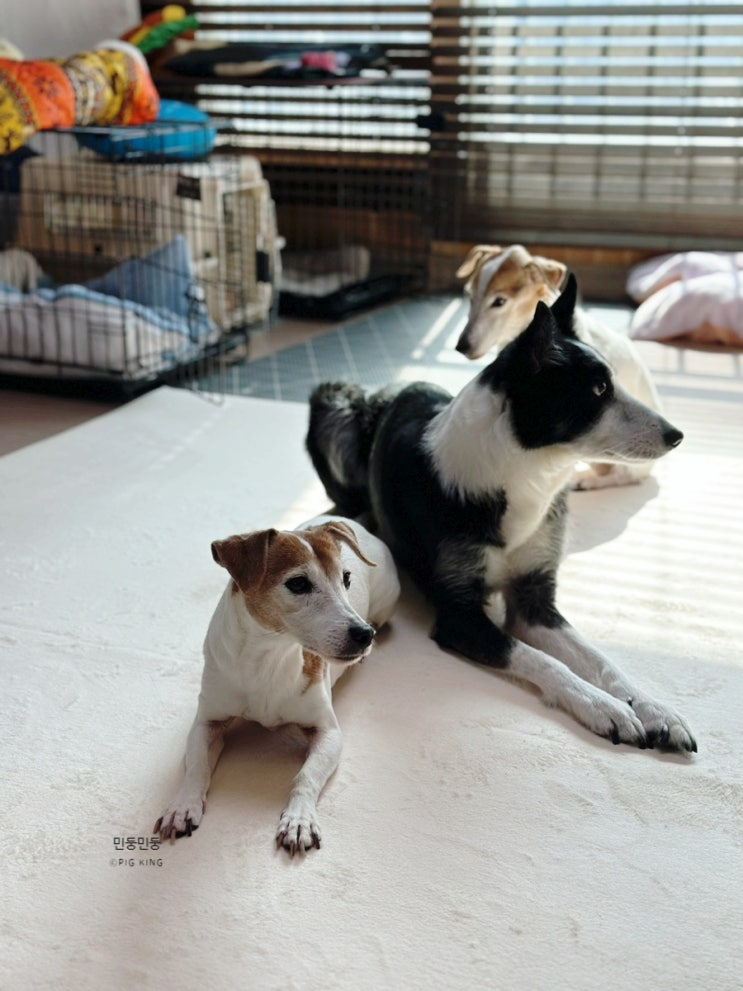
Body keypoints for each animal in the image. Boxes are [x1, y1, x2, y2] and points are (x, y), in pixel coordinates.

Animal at [154, 516, 400, 855]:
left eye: (346, 578)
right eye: (298, 584)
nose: (365, 635)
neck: (269, 658)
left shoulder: (328, 731)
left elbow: (306, 776)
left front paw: (299, 820)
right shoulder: (208, 722)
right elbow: (196, 767)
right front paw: (182, 806)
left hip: (385, 603)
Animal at [306, 276, 696, 753]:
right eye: (598, 391)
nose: (677, 436)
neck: (527, 472)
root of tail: (389, 391)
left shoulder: (534, 598)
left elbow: (598, 658)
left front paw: (654, 709)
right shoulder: (459, 615)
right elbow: (541, 659)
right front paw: (605, 707)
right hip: (329, 400)